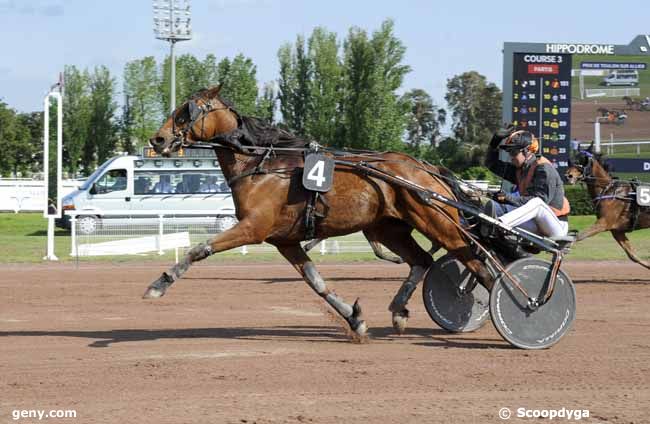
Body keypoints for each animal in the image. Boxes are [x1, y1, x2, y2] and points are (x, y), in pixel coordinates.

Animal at [143, 86, 492, 338]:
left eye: (186, 110)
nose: (157, 138)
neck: (262, 165)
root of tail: (426, 168)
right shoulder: (284, 241)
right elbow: (317, 283)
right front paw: (355, 320)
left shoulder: (253, 228)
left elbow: (200, 248)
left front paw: (159, 284)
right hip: (387, 228)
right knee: (421, 261)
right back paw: (398, 310)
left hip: (438, 223)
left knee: (478, 263)